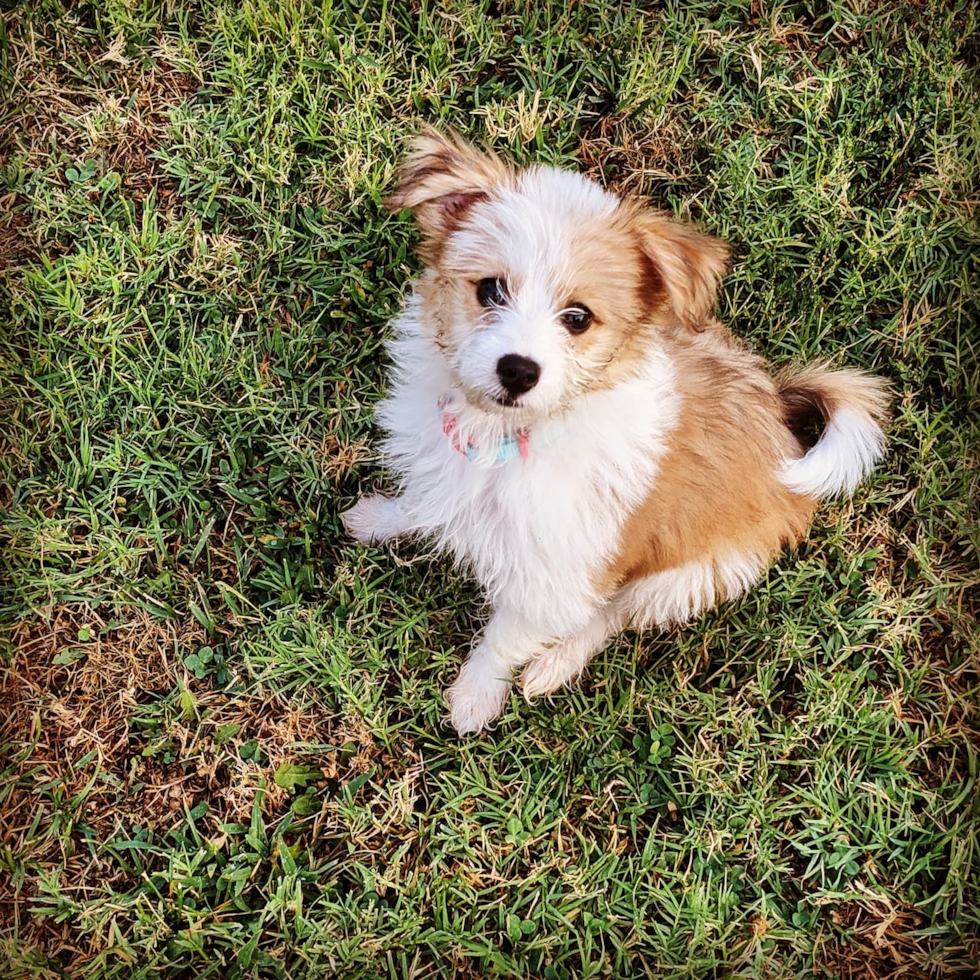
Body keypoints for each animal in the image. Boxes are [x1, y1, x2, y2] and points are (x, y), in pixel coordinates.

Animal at [342, 124, 888, 736]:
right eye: (490, 291)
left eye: (578, 318)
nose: (518, 369)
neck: (507, 434)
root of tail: (780, 415)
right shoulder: (444, 464)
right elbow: (422, 500)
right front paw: (381, 520)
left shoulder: (557, 572)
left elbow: (506, 640)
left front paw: (475, 698)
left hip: (687, 575)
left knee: (610, 617)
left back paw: (554, 665)